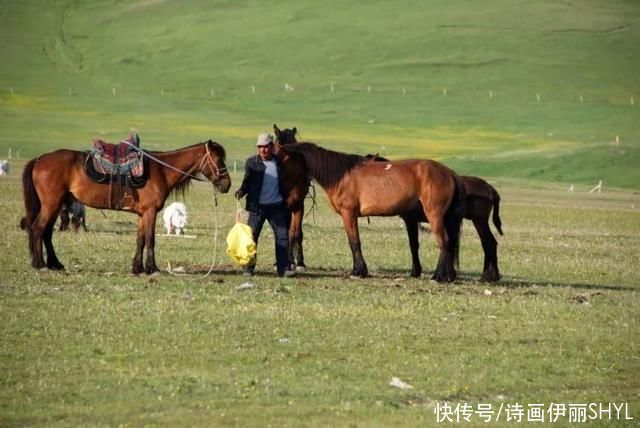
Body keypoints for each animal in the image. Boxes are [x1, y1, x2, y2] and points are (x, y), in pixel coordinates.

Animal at [272, 123, 312, 270]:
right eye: (278, 144)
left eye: (295, 143)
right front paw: (286, 261)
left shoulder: (298, 204)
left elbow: (296, 233)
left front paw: (299, 262)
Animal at [276, 141, 464, 280]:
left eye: (281, 162)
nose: (289, 202)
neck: (341, 175)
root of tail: (451, 174)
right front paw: (358, 270)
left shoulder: (349, 214)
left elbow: (354, 242)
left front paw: (359, 271)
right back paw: (448, 276)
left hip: (435, 216)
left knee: (444, 241)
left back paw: (438, 276)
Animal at [364, 155, 504, 282]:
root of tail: (490, 189)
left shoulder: (410, 220)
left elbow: (414, 244)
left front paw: (416, 272)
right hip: (478, 221)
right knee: (489, 242)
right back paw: (490, 276)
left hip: (479, 221)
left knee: (487, 243)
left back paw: (486, 276)